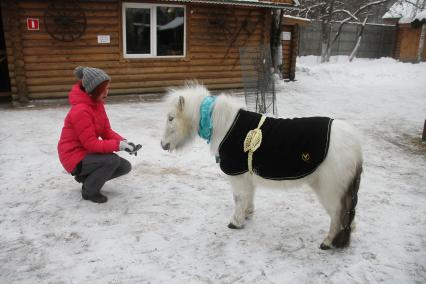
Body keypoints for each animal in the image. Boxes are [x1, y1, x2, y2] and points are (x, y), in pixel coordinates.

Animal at [161, 83, 362, 250]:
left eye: (171, 118)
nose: (163, 145)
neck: (225, 126)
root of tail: (355, 143)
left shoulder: (237, 176)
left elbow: (239, 198)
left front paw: (235, 223)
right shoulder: (246, 175)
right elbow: (248, 196)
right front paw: (247, 214)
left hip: (329, 190)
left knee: (337, 215)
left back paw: (327, 242)